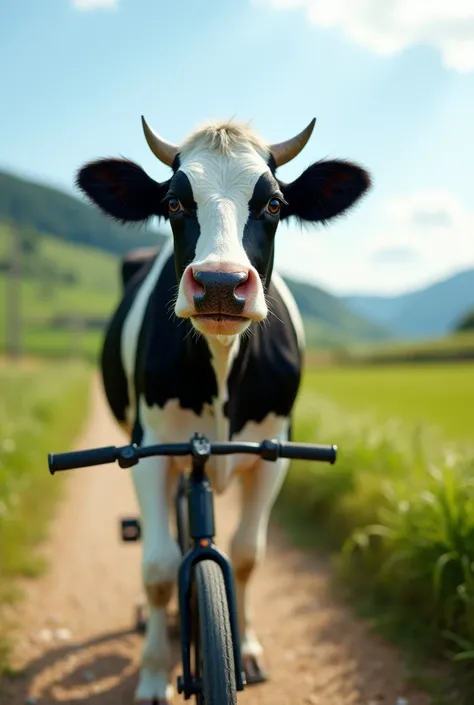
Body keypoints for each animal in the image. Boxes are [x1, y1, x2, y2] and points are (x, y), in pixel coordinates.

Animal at [76, 117, 370, 704]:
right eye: (173, 202)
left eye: (275, 203)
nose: (218, 284)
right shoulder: (145, 449)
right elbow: (159, 567)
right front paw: (152, 674)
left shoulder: (275, 450)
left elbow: (249, 554)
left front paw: (248, 647)